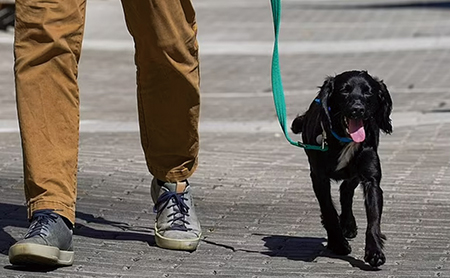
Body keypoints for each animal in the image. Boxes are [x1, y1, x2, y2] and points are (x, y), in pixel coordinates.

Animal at [294, 70, 392, 268]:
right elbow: (329, 210)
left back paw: (348, 224)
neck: (344, 139)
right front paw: (338, 243)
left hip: (354, 174)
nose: (357, 109)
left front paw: (374, 252)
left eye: (368, 92)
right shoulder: (319, 177)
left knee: (345, 190)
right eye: (344, 91)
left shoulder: (370, 178)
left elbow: (373, 219)